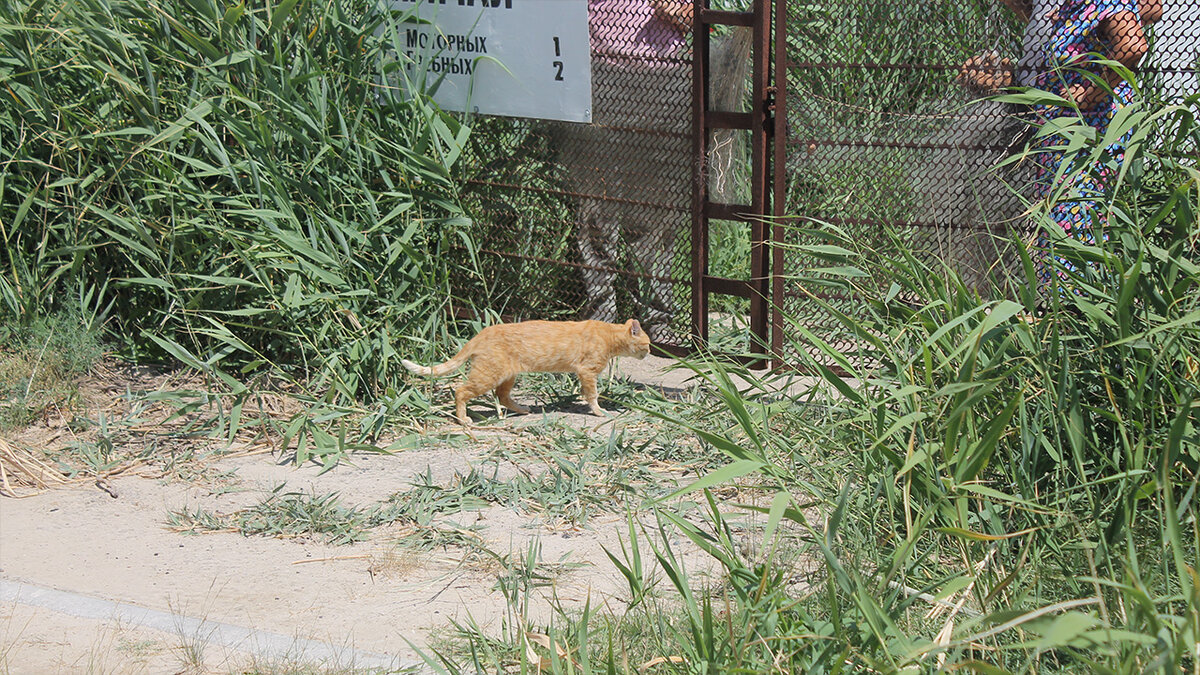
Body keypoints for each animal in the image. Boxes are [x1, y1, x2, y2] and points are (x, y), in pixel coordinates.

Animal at [403, 317, 652, 422]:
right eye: (648, 344)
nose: (649, 351)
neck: (609, 334)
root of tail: (481, 333)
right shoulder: (587, 372)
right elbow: (593, 395)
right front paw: (599, 411)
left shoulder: (584, 373)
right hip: (487, 376)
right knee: (460, 391)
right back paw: (463, 419)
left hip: (507, 376)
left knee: (502, 396)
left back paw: (523, 410)